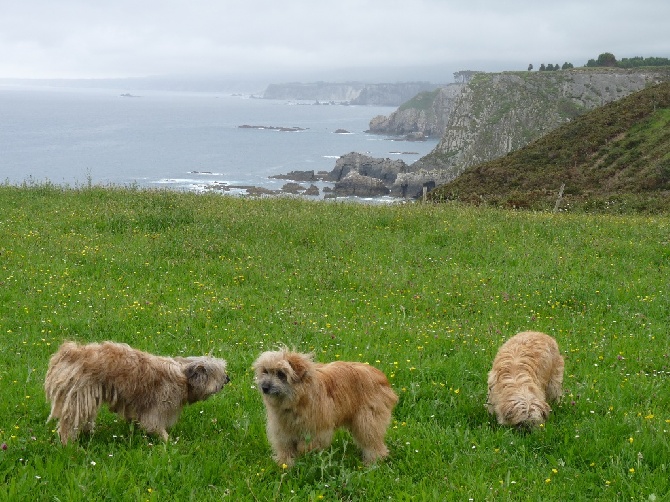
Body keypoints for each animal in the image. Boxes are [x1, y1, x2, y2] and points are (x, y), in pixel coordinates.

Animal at [44, 342, 230, 444]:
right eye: (220, 372)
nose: (228, 378)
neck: (184, 377)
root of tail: (70, 352)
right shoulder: (158, 406)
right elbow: (154, 424)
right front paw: (168, 441)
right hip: (79, 396)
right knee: (68, 424)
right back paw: (68, 444)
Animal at [252, 350, 400, 466]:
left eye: (281, 374)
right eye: (265, 371)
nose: (264, 387)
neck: (298, 400)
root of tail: (381, 376)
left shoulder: (316, 429)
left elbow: (307, 445)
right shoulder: (282, 430)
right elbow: (285, 447)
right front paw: (285, 463)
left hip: (368, 420)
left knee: (372, 440)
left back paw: (373, 461)